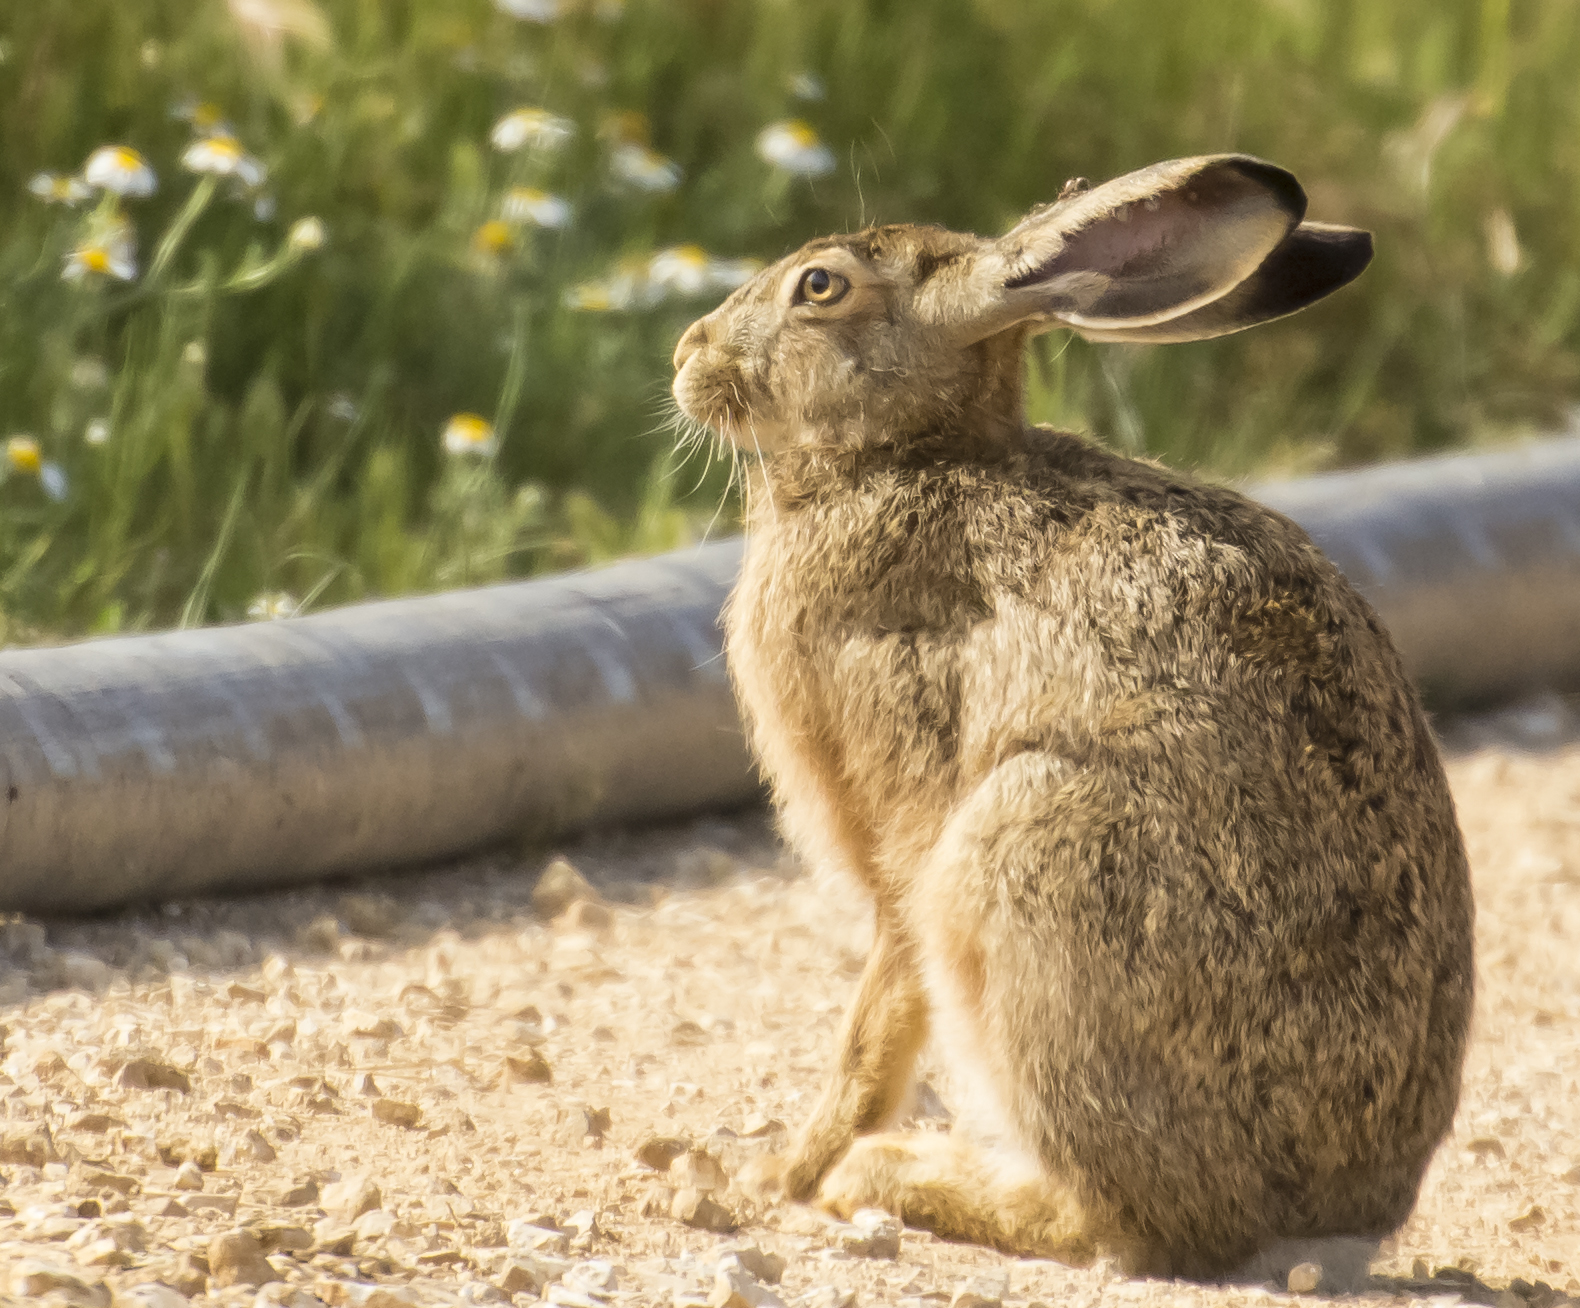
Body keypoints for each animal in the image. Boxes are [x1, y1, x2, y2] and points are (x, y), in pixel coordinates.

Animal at [670, 154, 1474, 1279]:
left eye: (818, 287)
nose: (685, 355)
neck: (906, 458)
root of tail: (1327, 1218)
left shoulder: (902, 811)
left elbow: (879, 1012)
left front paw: (782, 1173)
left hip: (1032, 856)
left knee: (1119, 1223)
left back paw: (893, 1174)